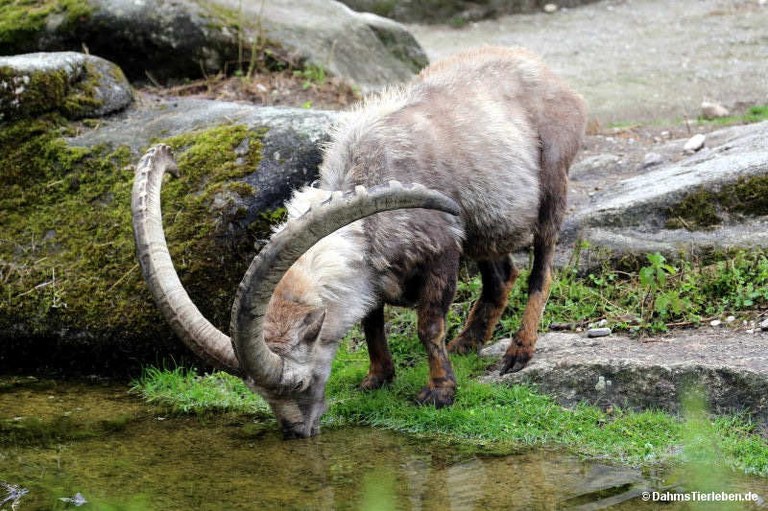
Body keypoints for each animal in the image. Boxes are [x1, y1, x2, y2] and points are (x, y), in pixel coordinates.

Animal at [132, 46, 587, 439]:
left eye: (299, 383)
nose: (297, 431)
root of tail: (550, 75)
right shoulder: (376, 271)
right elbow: (371, 321)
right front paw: (377, 378)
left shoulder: (442, 249)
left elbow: (428, 326)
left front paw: (438, 392)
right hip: (485, 226)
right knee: (502, 274)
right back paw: (468, 343)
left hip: (552, 182)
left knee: (542, 268)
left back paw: (519, 351)